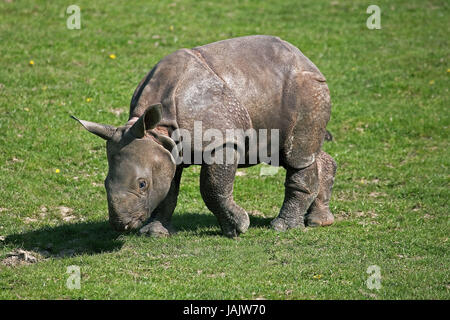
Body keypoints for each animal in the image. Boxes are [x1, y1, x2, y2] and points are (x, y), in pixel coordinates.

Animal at [72, 36, 336, 239]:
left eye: (142, 184)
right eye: (105, 183)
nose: (121, 225)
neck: (157, 130)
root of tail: (306, 59)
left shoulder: (221, 140)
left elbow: (212, 187)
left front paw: (238, 227)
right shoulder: (168, 147)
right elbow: (168, 190)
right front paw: (154, 233)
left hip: (306, 87)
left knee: (296, 156)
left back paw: (283, 227)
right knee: (290, 152)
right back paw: (320, 221)